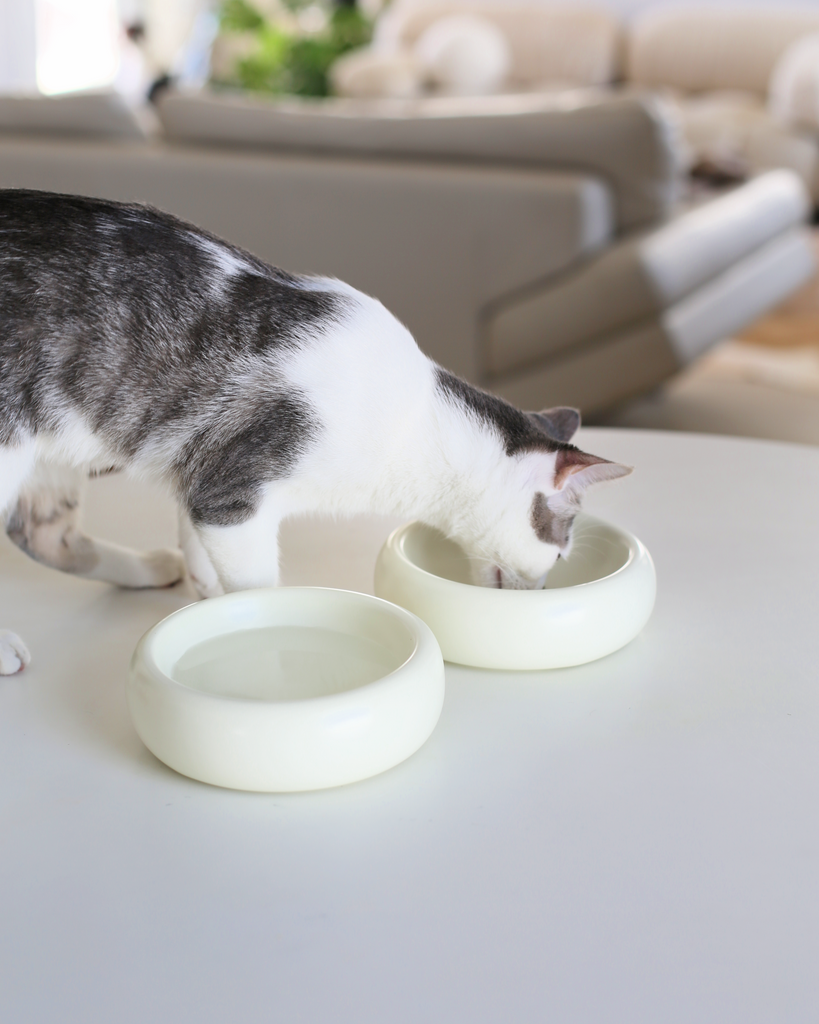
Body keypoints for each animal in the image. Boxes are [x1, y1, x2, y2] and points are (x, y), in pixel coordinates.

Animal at [0, 189, 630, 675]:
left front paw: (202, 592)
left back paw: (146, 569)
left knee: (44, 536)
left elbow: (194, 537)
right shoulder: (232, 495)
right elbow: (254, 586)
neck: (418, 428)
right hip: (12, 442)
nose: (543, 592)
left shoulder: (198, 470)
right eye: (559, 552)